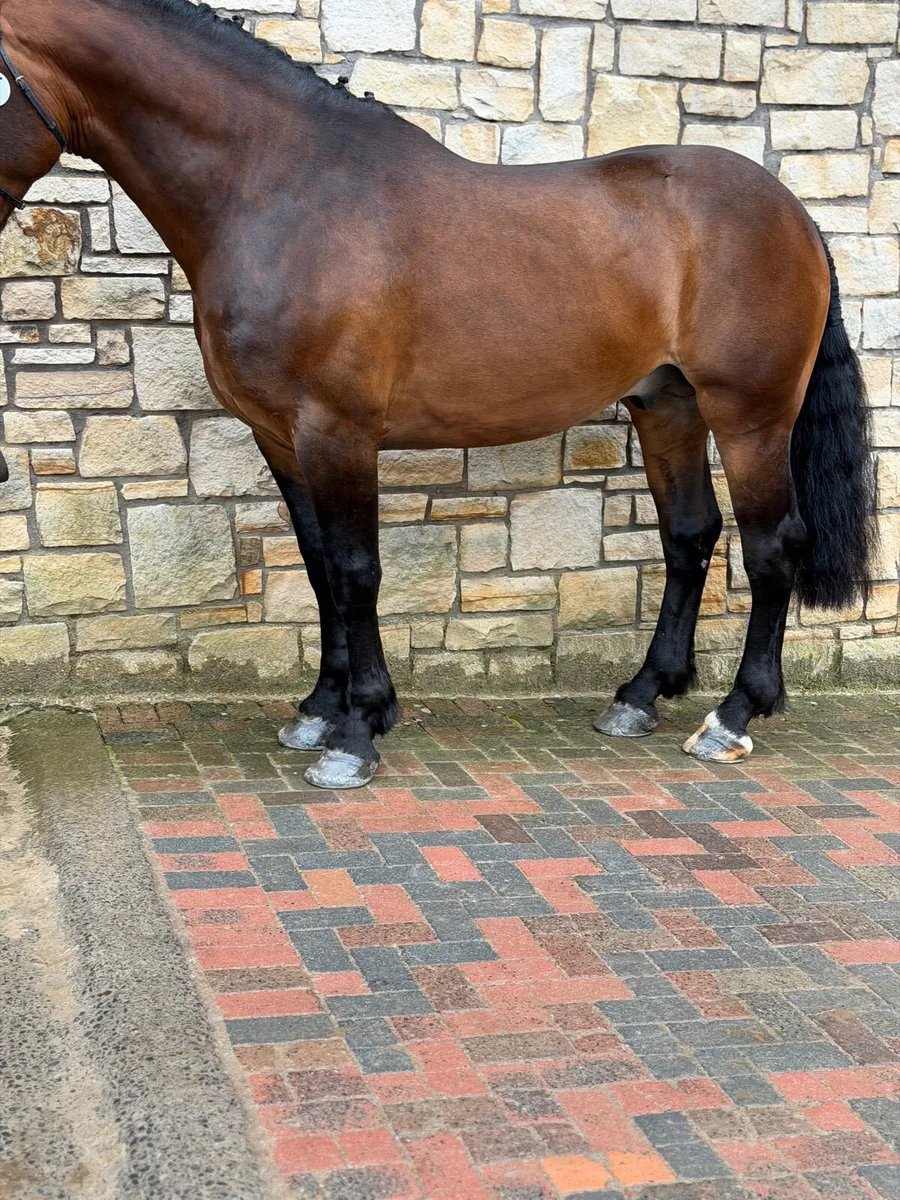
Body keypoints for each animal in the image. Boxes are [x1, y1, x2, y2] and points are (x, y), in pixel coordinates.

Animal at [0, 0, 874, 789]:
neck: (278, 188)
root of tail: (794, 215)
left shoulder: (337, 430)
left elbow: (356, 570)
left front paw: (356, 732)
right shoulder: (280, 435)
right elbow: (318, 566)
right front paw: (321, 709)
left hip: (751, 415)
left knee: (772, 547)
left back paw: (733, 715)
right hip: (668, 406)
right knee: (690, 536)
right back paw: (641, 694)